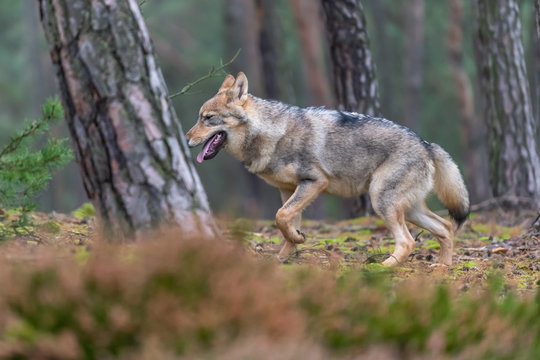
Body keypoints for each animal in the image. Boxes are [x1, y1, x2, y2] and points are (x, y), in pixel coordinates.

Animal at [186, 73, 468, 266]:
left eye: (207, 118)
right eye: (199, 117)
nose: (186, 138)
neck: (273, 133)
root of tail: (427, 144)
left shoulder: (314, 182)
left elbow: (281, 216)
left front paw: (297, 240)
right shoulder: (287, 189)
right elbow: (284, 222)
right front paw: (288, 251)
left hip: (383, 202)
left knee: (408, 241)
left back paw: (384, 267)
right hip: (408, 209)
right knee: (446, 227)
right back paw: (442, 267)